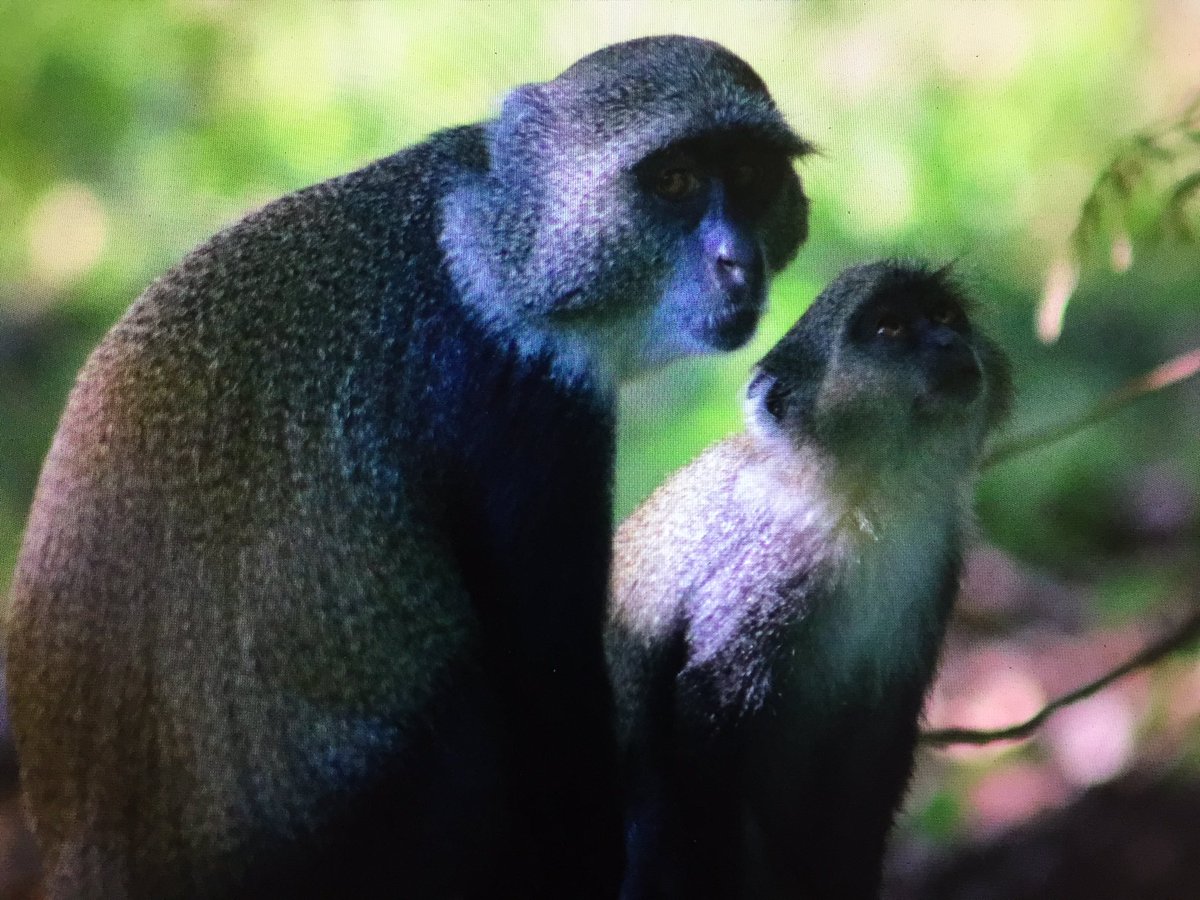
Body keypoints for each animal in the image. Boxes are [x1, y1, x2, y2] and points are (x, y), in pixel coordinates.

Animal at [4, 36, 812, 900]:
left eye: (752, 174)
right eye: (676, 181)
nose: (737, 262)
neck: (493, 245)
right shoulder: (525, 406)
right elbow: (551, 687)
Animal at [607, 260, 1012, 900]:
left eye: (945, 315)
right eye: (890, 328)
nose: (949, 343)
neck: (867, 497)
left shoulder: (934, 556)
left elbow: (874, 749)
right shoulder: (770, 568)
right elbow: (704, 720)